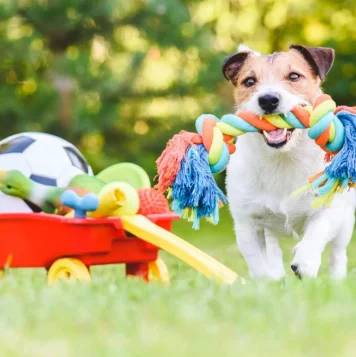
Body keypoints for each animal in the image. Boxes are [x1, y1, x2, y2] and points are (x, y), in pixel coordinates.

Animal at [224, 43, 354, 278]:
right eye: (249, 81)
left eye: (294, 76)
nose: (267, 99)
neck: (283, 158)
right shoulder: (247, 223)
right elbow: (258, 264)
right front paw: (267, 282)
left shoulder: (329, 209)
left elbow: (317, 231)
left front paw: (305, 262)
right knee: (273, 253)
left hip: (346, 223)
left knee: (337, 254)